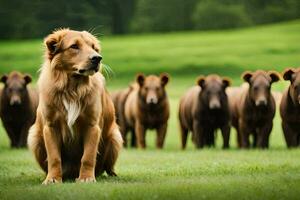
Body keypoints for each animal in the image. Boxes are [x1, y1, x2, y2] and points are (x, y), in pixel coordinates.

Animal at [27, 28, 122, 184]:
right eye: (74, 46)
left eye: (94, 47)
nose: (97, 58)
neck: (72, 89)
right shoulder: (51, 126)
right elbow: (54, 157)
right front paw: (52, 178)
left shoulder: (92, 126)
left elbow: (88, 156)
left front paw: (86, 178)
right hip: (34, 136)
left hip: (115, 136)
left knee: (108, 167)